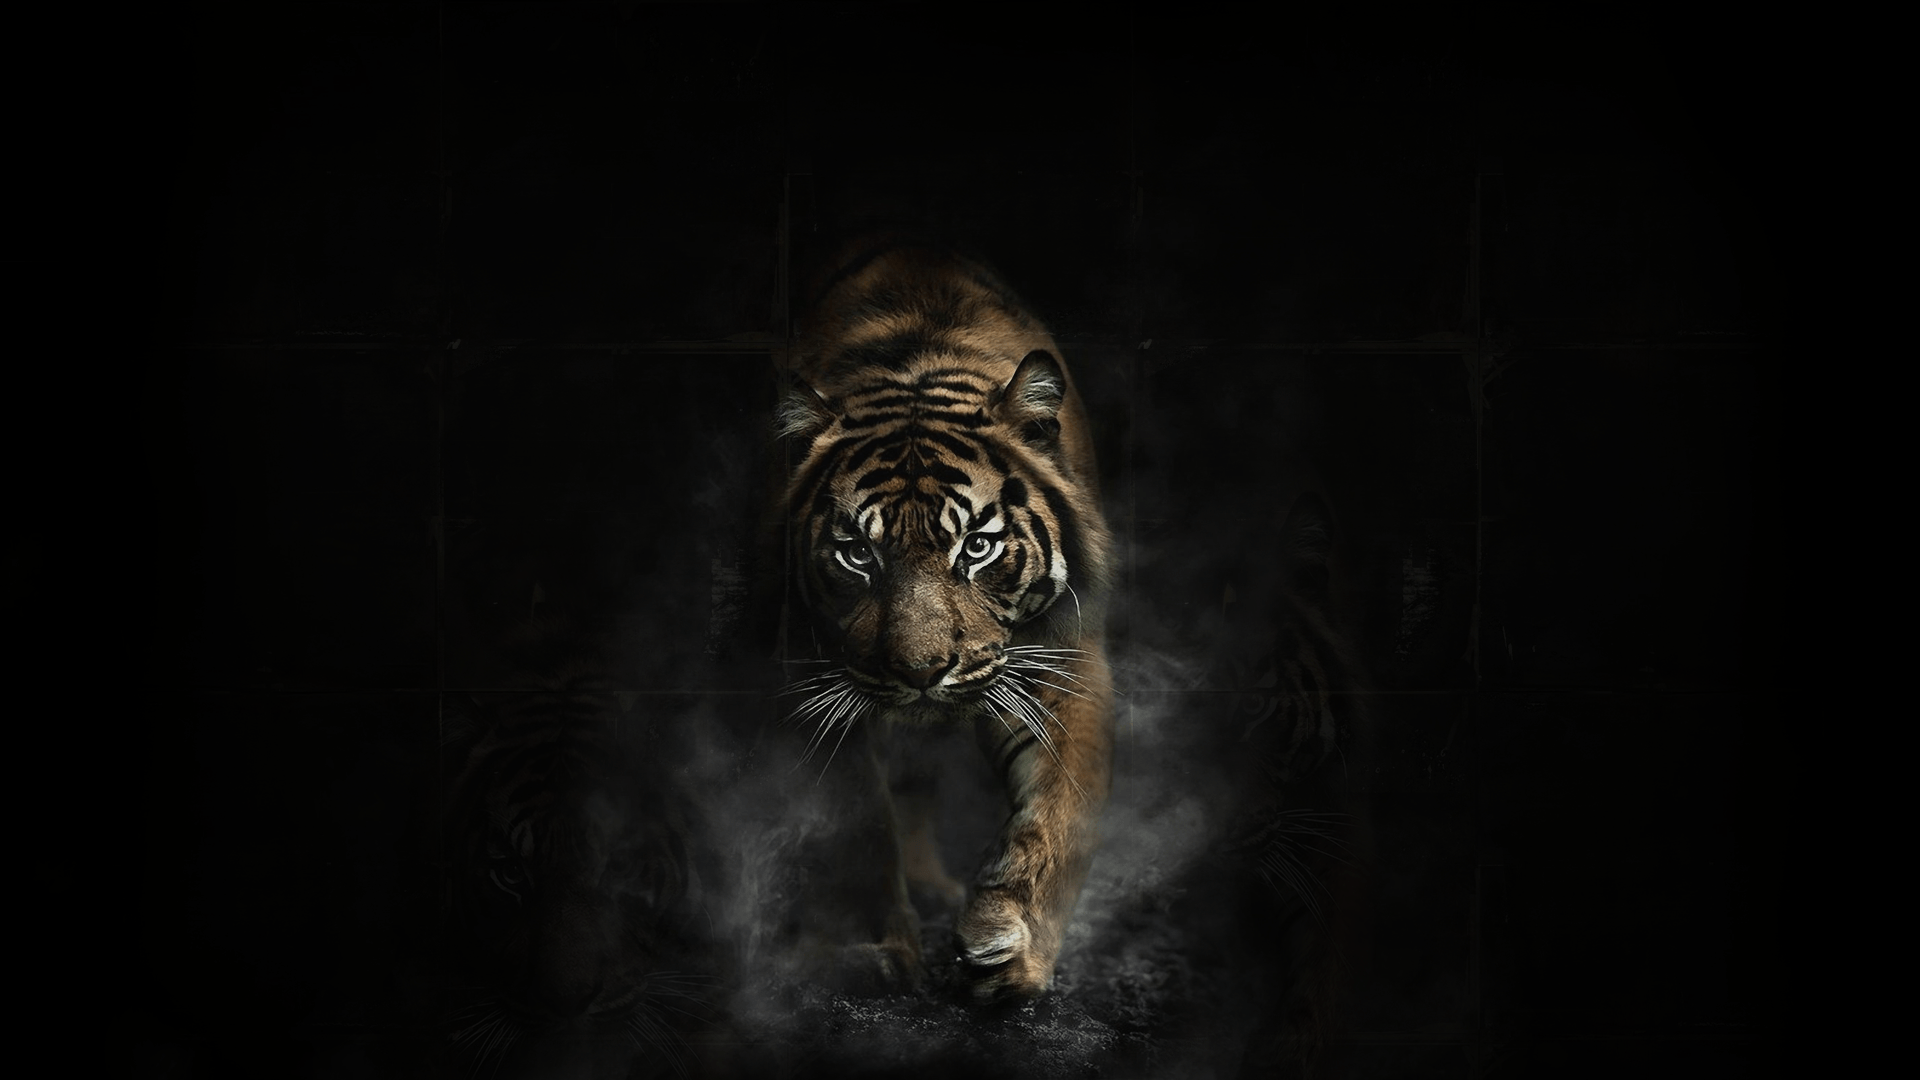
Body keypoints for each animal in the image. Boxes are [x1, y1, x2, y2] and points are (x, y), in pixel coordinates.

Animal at [763, 236, 1117, 1003]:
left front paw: (1011, 946)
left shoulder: (1064, 660)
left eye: (977, 547)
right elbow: (860, 820)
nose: (921, 671)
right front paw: (879, 951)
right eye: (858, 553)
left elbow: (1059, 812)